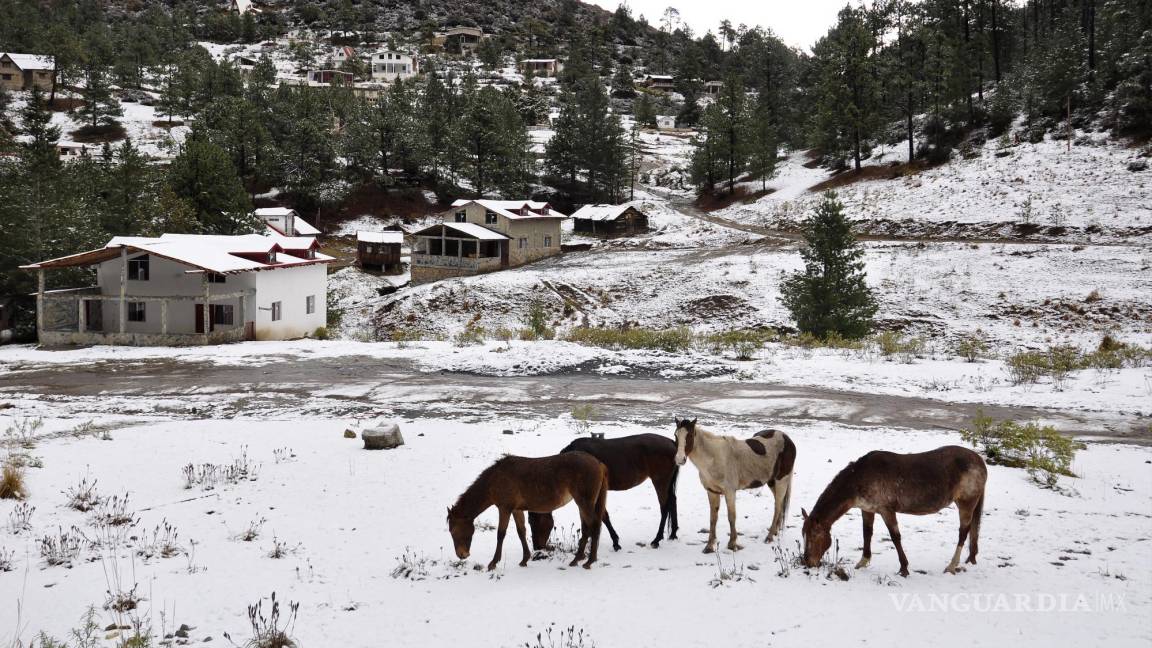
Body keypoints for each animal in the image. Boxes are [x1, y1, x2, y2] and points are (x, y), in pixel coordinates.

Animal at [444, 451, 612, 567]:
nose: (462, 555)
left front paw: (493, 563)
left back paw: (589, 561)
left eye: (452, 530)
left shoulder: (504, 508)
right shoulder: (516, 509)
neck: (495, 479)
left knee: (594, 526)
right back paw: (577, 559)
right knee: (586, 528)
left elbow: (501, 534)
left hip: (584, 503)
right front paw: (525, 559)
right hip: (583, 504)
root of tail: (599, 463)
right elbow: (521, 532)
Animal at [527, 433, 677, 548]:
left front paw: (614, 542)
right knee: (672, 501)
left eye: (534, 521)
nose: (537, 548)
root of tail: (672, 443)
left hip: (660, 480)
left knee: (665, 507)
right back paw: (673, 534)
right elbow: (602, 516)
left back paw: (657, 539)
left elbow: (600, 516)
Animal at [672, 419, 797, 548]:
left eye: (690, 435)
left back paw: (770, 536)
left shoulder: (730, 492)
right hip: (772, 482)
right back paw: (775, 531)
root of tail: (787, 439)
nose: (679, 459)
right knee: (780, 505)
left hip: (781, 481)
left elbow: (731, 517)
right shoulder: (712, 491)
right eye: (676, 435)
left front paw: (732, 544)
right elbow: (713, 518)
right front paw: (710, 545)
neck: (714, 457)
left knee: (777, 507)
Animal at [801, 442, 990, 574]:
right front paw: (863, 562)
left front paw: (904, 568)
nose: (808, 563)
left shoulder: (887, 510)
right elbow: (867, 533)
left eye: (813, 536)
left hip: (966, 503)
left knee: (963, 532)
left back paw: (951, 566)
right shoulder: (867, 510)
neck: (860, 478)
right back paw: (970, 558)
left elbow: (895, 537)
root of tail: (979, 460)